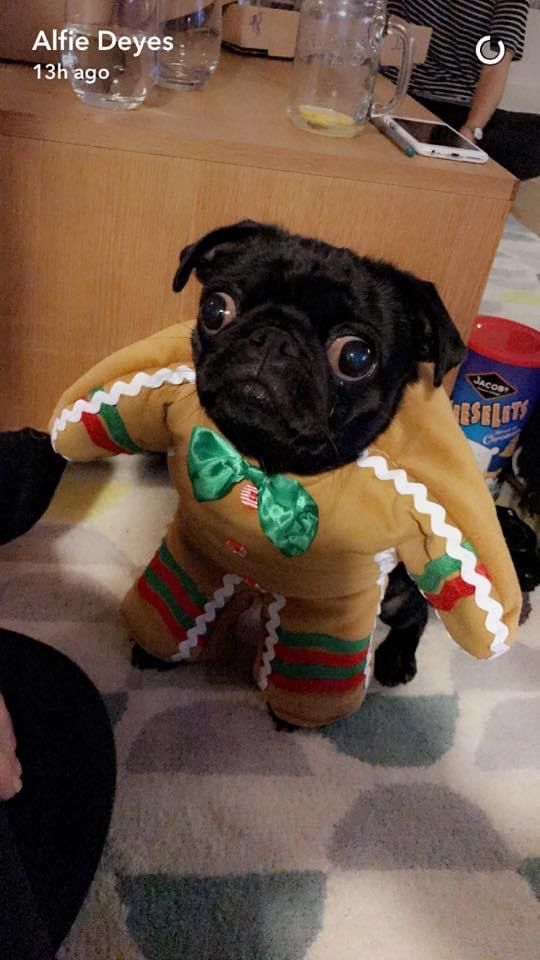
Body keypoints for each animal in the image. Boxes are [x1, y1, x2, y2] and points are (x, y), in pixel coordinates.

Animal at [170, 223, 468, 688]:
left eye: (356, 356)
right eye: (216, 309)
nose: (274, 337)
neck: (267, 468)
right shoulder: (197, 557)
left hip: (397, 594)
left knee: (416, 614)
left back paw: (397, 658)